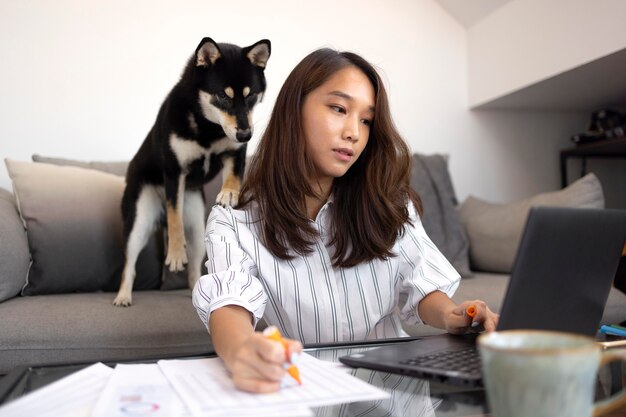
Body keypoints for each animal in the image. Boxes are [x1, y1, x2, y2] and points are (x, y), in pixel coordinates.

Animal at [113, 37, 270, 306]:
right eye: (223, 96)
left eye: (251, 96)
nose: (246, 135)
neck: (209, 128)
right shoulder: (175, 172)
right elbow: (175, 220)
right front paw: (176, 254)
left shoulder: (234, 154)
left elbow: (234, 177)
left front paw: (229, 194)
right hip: (139, 220)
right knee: (129, 265)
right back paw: (123, 295)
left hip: (197, 224)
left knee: (196, 267)